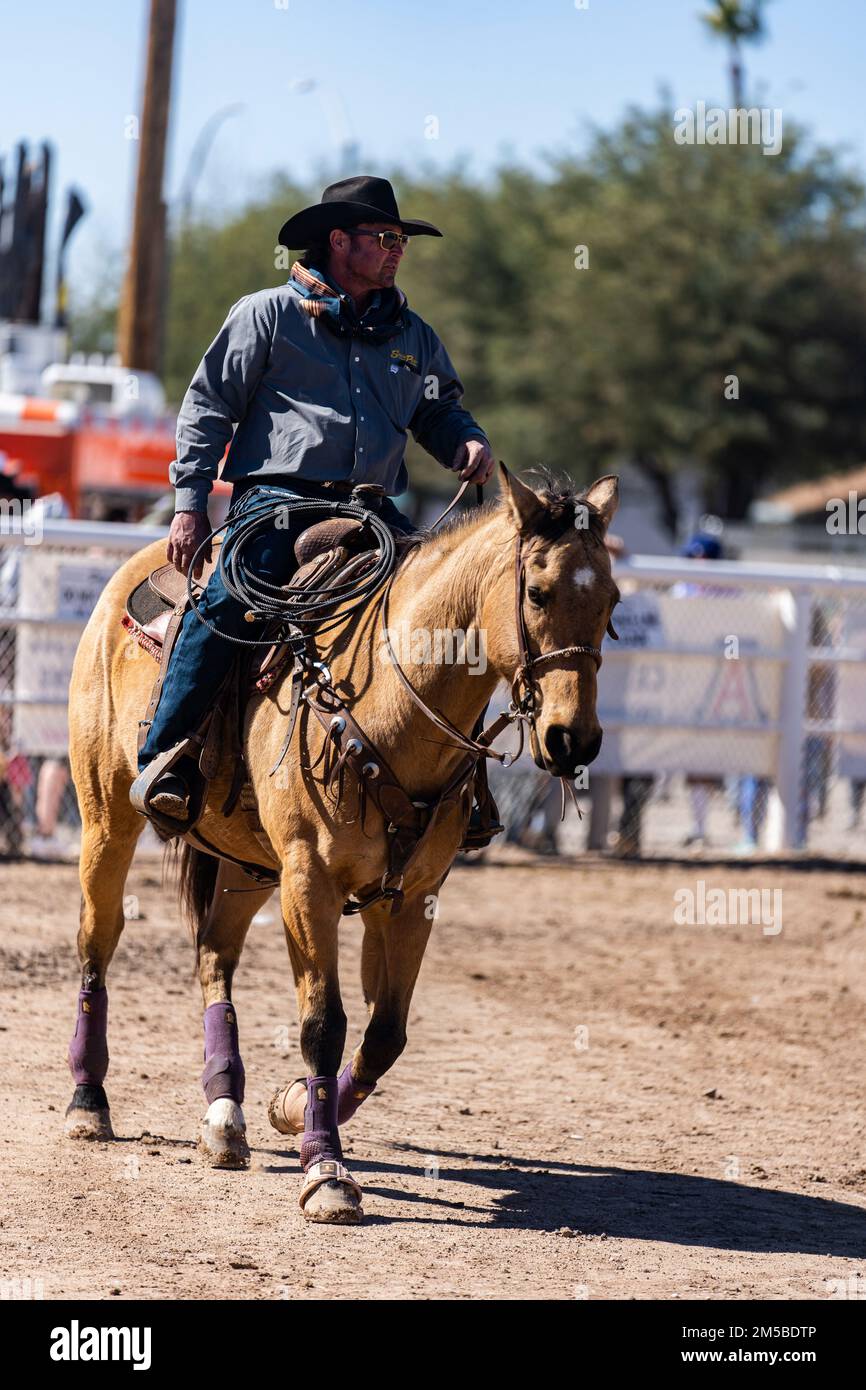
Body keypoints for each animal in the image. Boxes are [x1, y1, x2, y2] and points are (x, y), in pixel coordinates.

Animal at [64, 467, 619, 1228]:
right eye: (537, 593)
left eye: (612, 600)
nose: (574, 741)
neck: (388, 700)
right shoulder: (310, 881)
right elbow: (324, 1024)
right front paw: (327, 1173)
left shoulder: (414, 897)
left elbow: (385, 1033)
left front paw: (295, 1107)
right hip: (107, 821)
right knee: (98, 942)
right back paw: (88, 1102)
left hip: (246, 865)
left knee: (214, 956)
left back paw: (225, 1116)